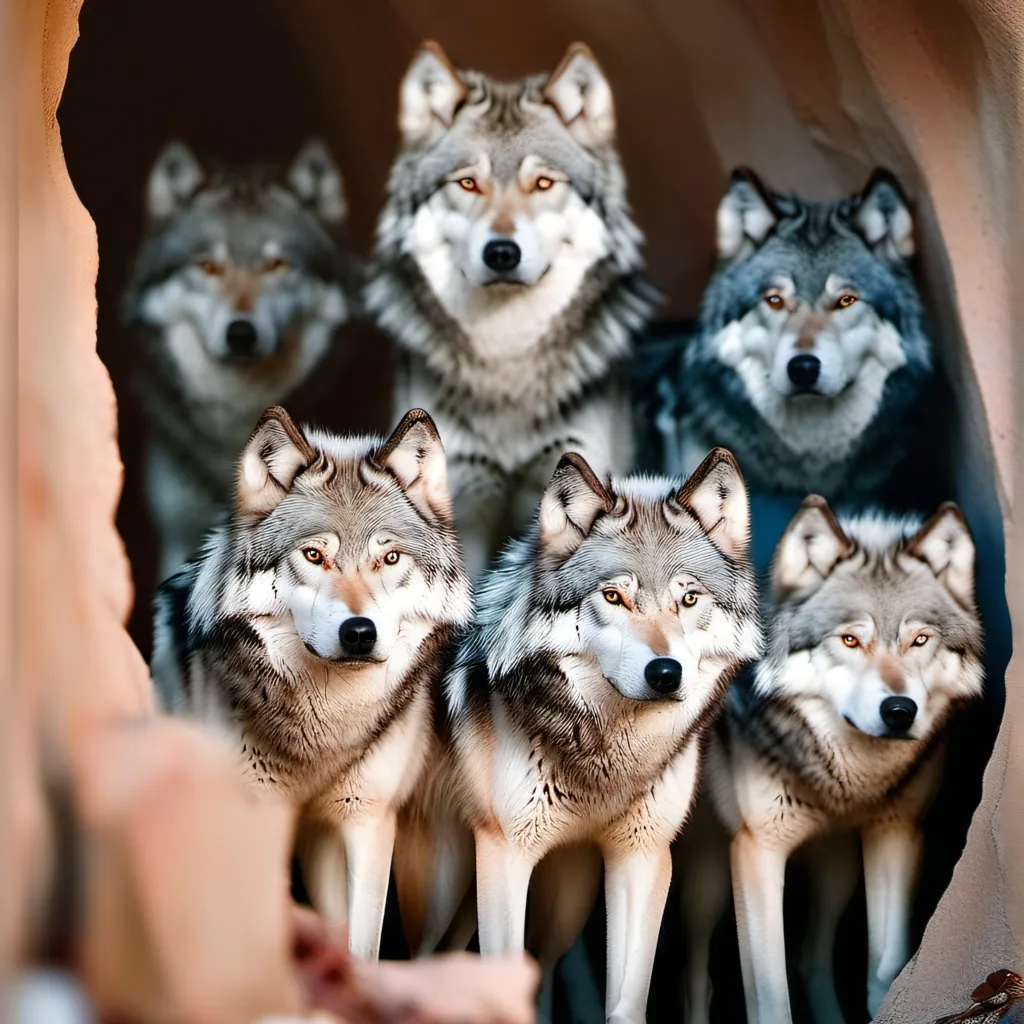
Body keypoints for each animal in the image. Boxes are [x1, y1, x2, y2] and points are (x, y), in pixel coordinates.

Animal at [150, 406, 472, 961]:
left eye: (390, 559)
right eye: (314, 556)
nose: (359, 632)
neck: (321, 731)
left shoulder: (364, 820)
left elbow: (359, 946)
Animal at [405, 447, 762, 1023]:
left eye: (689, 600)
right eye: (614, 596)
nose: (666, 673)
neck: (604, 760)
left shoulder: (644, 858)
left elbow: (628, 1002)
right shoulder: (505, 855)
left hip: (568, 905)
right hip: (445, 890)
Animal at [679, 496, 985, 1024]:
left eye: (920, 640)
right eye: (849, 640)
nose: (900, 711)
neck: (850, 781)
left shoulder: (898, 834)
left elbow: (886, 968)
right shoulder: (758, 850)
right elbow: (771, 999)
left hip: (836, 872)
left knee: (810, 958)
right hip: (707, 883)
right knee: (696, 978)